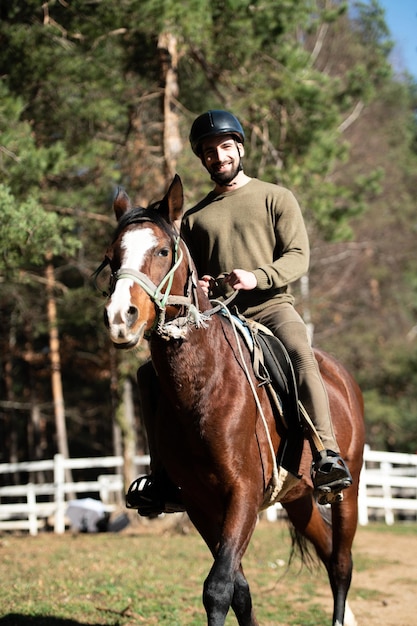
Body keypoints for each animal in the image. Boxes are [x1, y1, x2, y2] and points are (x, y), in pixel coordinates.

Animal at [101, 173, 364, 620]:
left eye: (162, 250)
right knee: (329, 552)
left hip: (350, 490)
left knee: (342, 563)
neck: (205, 385)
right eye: (112, 255)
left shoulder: (242, 493)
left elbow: (218, 587)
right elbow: (238, 588)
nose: (121, 317)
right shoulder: (200, 502)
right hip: (298, 499)